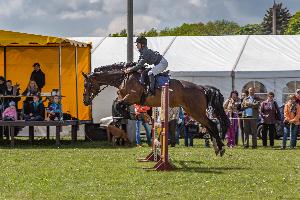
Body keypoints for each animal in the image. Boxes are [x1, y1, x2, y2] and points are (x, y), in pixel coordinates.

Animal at [82, 62, 230, 156]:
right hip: (193, 112)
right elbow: (118, 104)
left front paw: (130, 115)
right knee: (209, 126)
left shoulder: (132, 97)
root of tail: (201, 88)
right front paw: (130, 116)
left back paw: (221, 148)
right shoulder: (125, 98)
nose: (85, 101)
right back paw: (217, 148)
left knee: (211, 124)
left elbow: (119, 105)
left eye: (87, 85)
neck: (124, 78)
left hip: (196, 111)